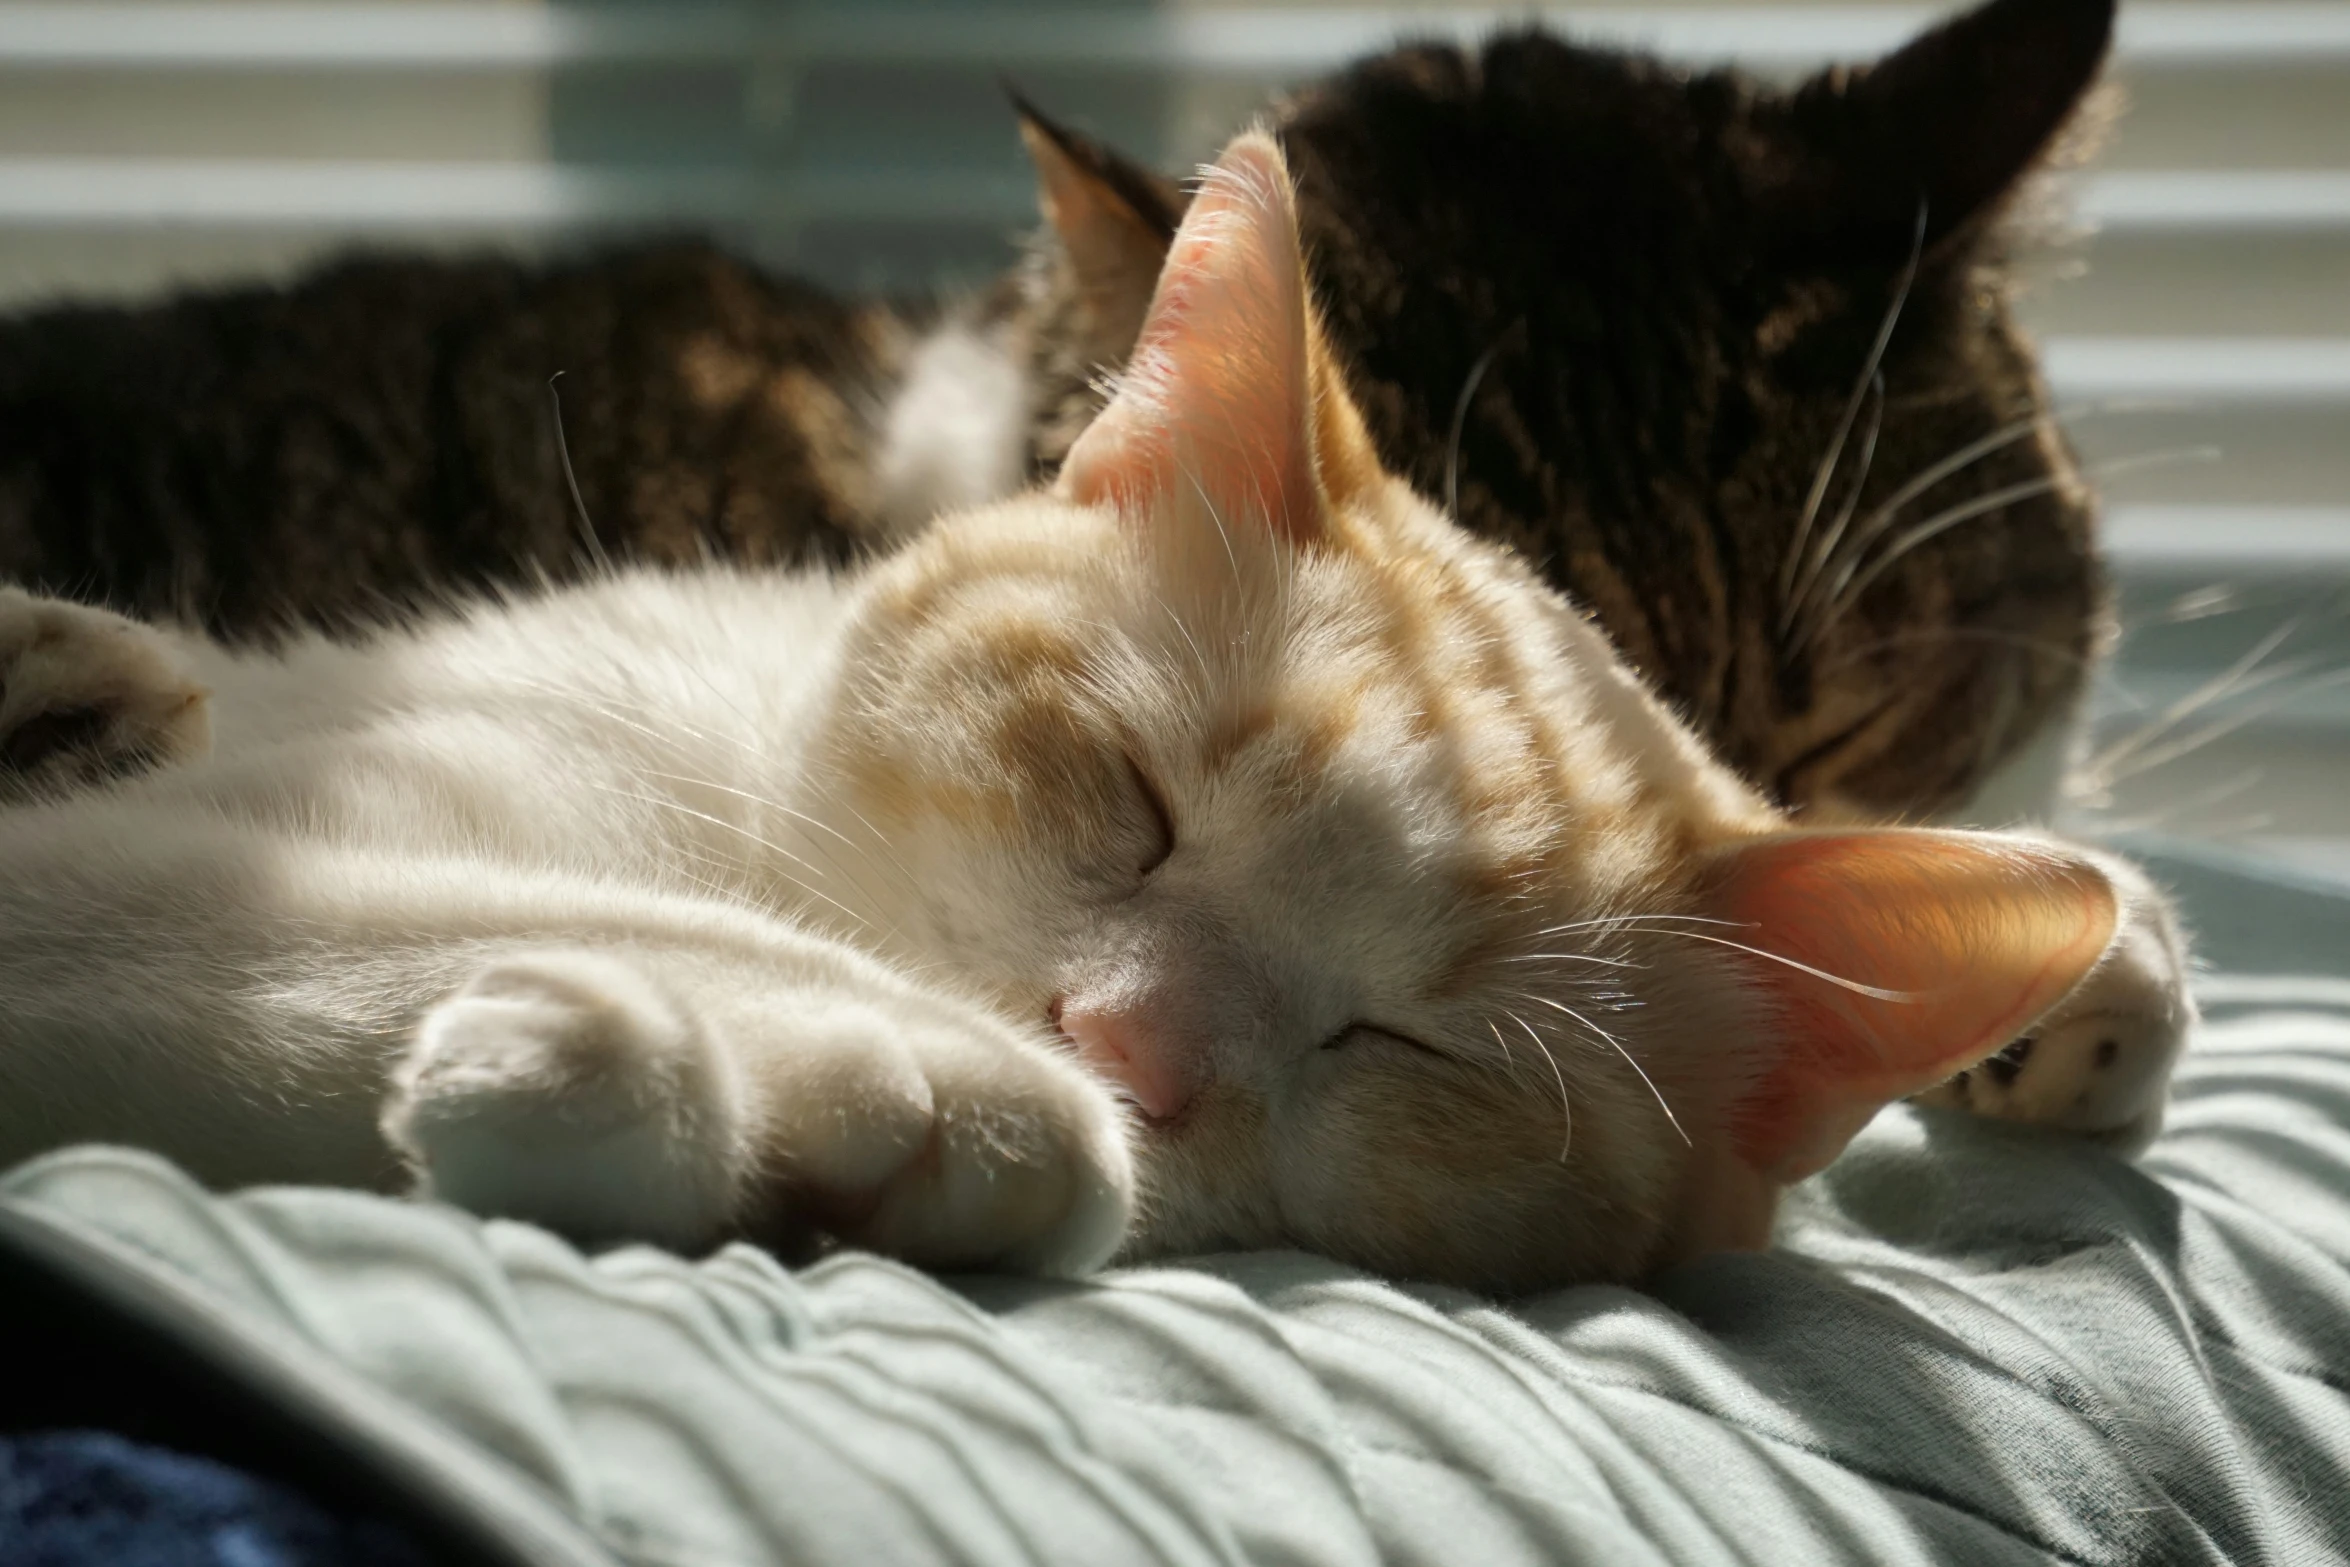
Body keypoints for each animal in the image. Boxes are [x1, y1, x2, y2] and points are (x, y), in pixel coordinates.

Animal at [0, 135, 2180, 1296]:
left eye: (1409, 1046)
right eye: (1129, 799)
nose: (1120, 1047)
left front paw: (828, 1104)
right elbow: (309, 924)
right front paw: (857, 1051)